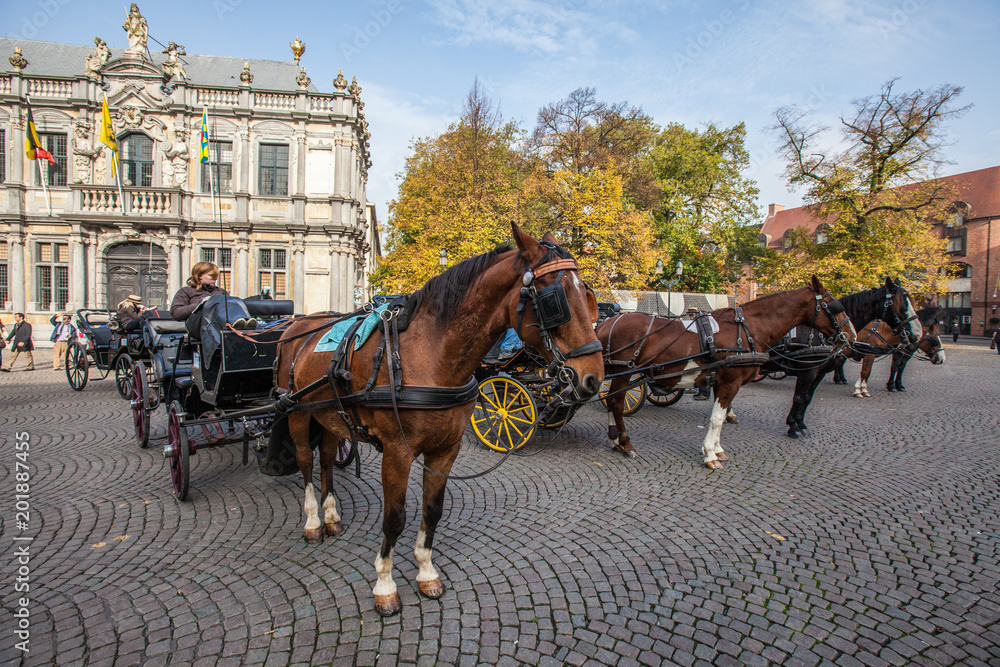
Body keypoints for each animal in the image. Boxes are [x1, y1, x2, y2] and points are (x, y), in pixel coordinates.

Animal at [272, 223, 600, 616]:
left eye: (588, 294)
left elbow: (432, 510)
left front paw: (426, 572)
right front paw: (385, 585)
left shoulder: (446, 449)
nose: (594, 378)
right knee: (306, 461)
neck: (431, 354)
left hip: (330, 415)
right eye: (556, 300)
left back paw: (332, 516)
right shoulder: (396, 453)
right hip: (297, 413)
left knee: (325, 460)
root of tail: (297, 324)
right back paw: (312, 522)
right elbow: (395, 517)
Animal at [596, 276, 856, 470]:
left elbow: (720, 417)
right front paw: (710, 454)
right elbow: (717, 418)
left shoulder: (725, 383)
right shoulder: (730, 381)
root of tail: (606, 323)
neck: (748, 329)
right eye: (835, 306)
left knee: (611, 400)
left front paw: (718, 449)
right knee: (616, 402)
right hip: (623, 371)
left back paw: (616, 440)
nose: (851, 337)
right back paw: (625, 443)